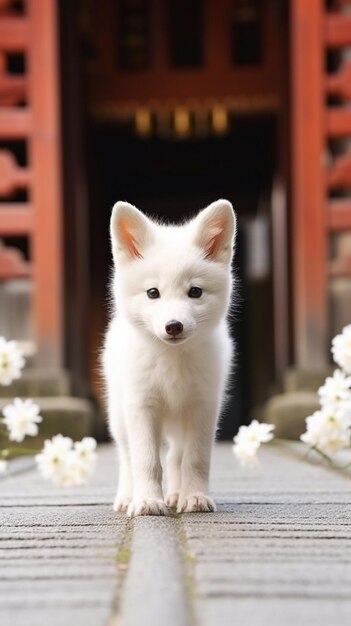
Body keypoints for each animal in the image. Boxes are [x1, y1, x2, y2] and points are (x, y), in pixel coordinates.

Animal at [103, 197, 238, 516]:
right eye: (153, 292)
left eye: (195, 292)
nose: (173, 326)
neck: (172, 361)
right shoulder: (141, 406)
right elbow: (146, 461)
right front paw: (148, 502)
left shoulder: (202, 407)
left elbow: (195, 459)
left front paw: (195, 497)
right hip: (119, 417)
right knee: (127, 457)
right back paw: (127, 497)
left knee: (176, 456)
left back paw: (177, 494)